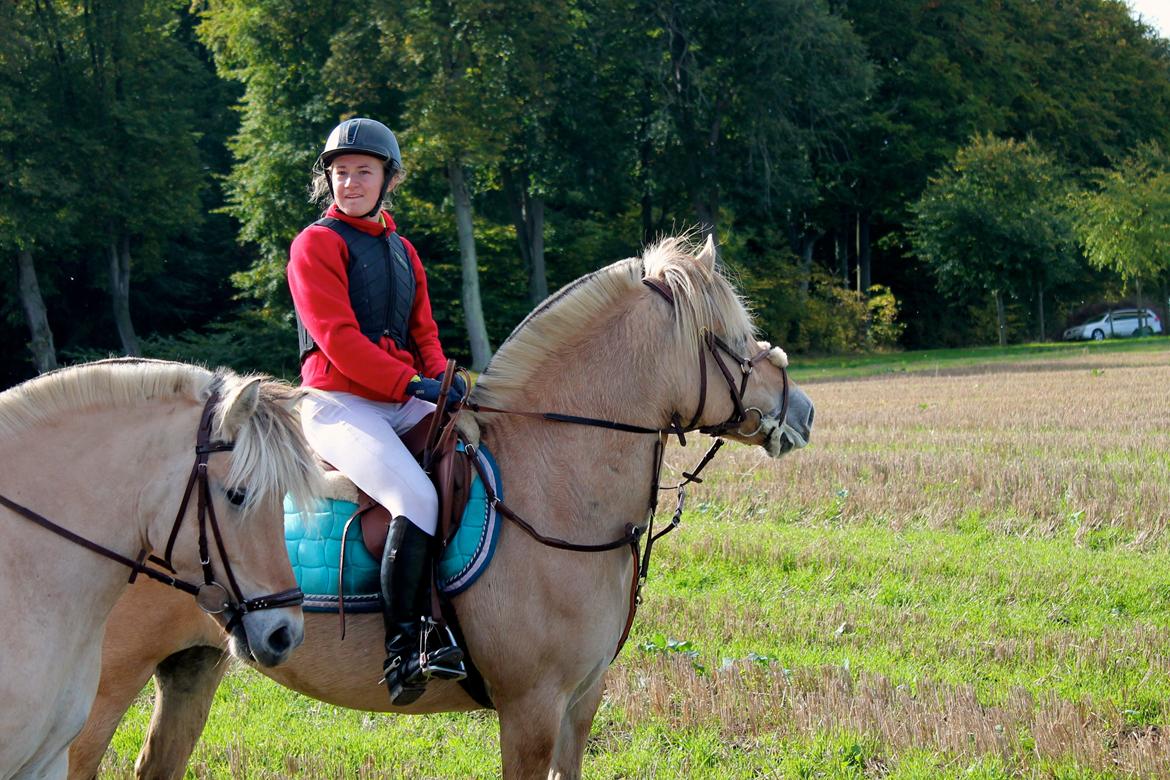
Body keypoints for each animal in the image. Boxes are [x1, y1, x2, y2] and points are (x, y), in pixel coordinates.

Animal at [64, 238, 814, 780]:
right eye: (733, 339)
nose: (802, 411)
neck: (555, 487)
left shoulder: (581, 702)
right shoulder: (531, 710)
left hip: (192, 664)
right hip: (100, 690)